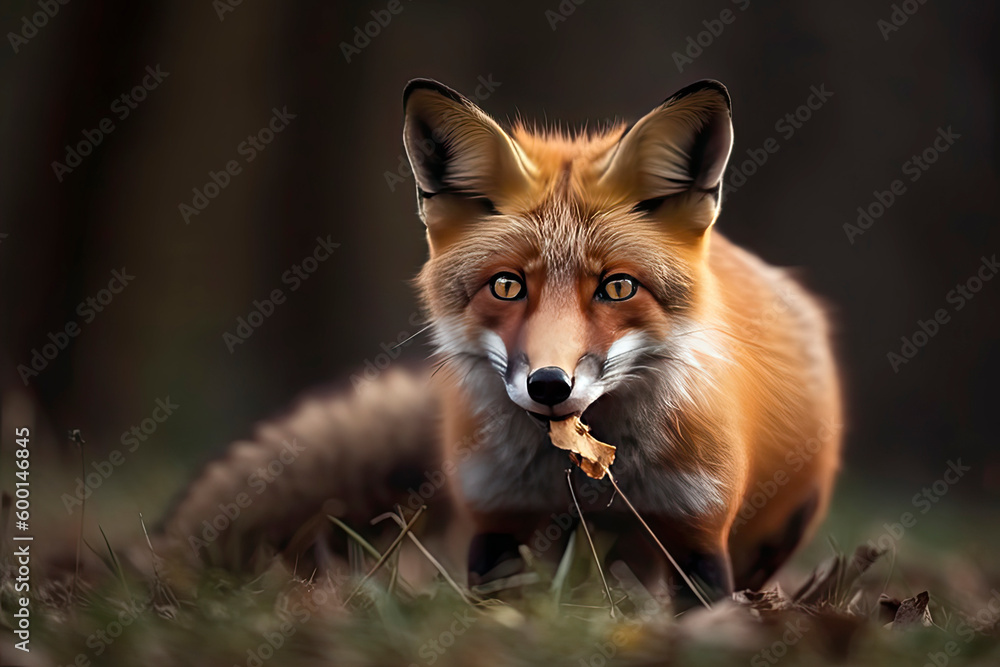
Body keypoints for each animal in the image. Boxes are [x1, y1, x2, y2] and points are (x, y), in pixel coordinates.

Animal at [160, 78, 841, 608]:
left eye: (618, 287)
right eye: (507, 286)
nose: (550, 385)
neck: (581, 476)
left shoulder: (695, 533)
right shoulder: (497, 524)